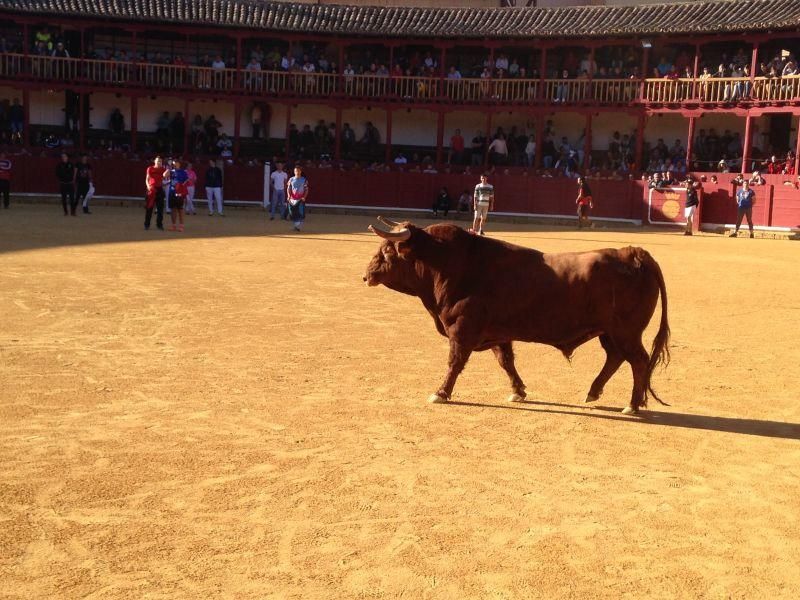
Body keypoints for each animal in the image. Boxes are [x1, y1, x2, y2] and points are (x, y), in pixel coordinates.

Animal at [362, 218, 668, 414]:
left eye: (387, 250)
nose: (366, 275)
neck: (449, 264)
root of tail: (634, 253)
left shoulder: (462, 331)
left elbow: (455, 362)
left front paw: (441, 393)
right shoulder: (497, 333)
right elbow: (506, 361)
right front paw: (518, 391)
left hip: (626, 331)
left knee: (638, 361)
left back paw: (632, 405)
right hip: (609, 332)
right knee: (615, 358)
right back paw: (593, 392)